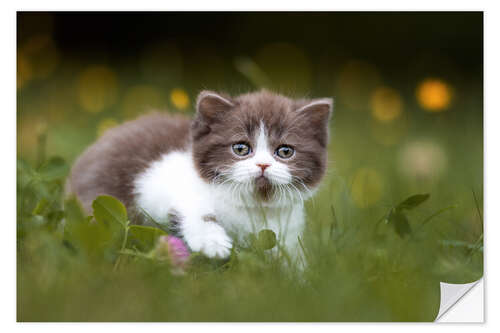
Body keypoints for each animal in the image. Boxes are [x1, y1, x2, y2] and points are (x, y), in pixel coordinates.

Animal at [66, 89, 332, 260]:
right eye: (241, 148)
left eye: (285, 151)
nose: (263, 165)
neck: (254, 205)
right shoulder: (158, 179)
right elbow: (195, 210)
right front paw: (212, 243)